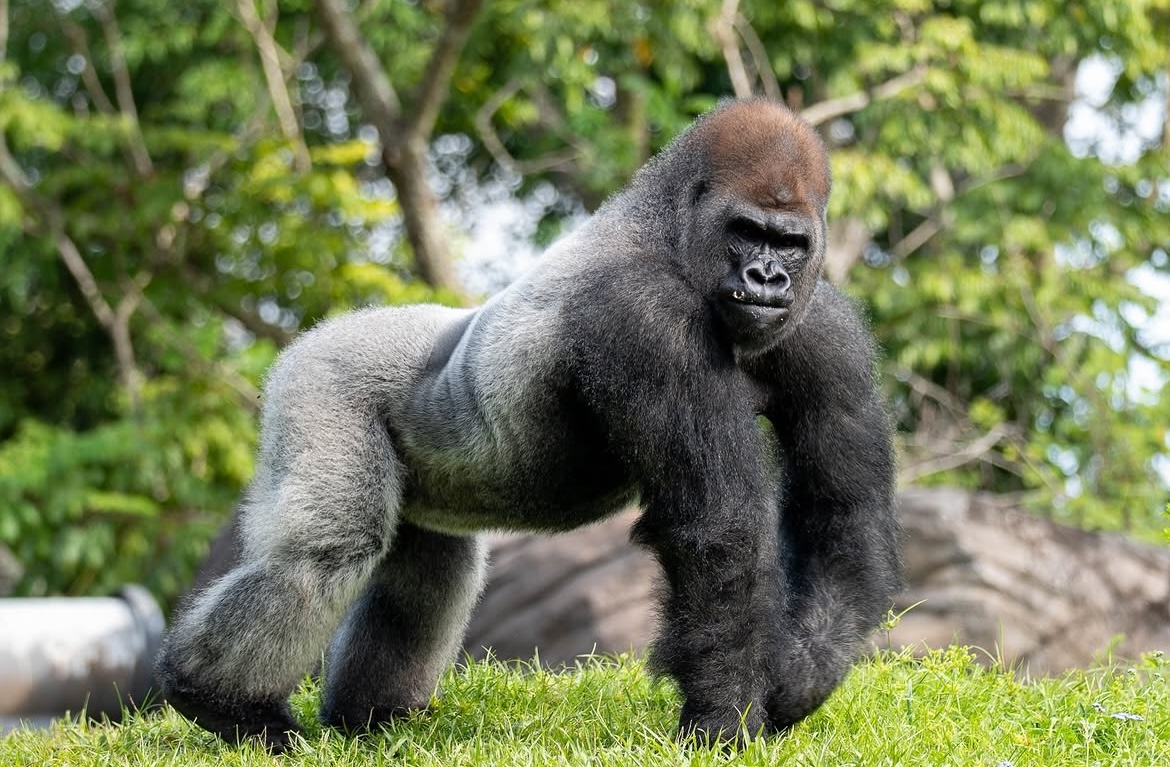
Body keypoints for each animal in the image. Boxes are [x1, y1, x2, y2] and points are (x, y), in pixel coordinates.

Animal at [154, 97, 901, 752]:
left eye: (790, 243)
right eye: (746, 231)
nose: (769, 278)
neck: (667, 229)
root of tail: (321, 333)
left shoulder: (827, 328)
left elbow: (841, 510)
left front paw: (798, 677)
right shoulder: (644, 318)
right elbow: (721, 531)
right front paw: (723, 719)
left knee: (430, 570)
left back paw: (371, 719)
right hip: (322, 377)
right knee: (324, 552)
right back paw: (217, 700)